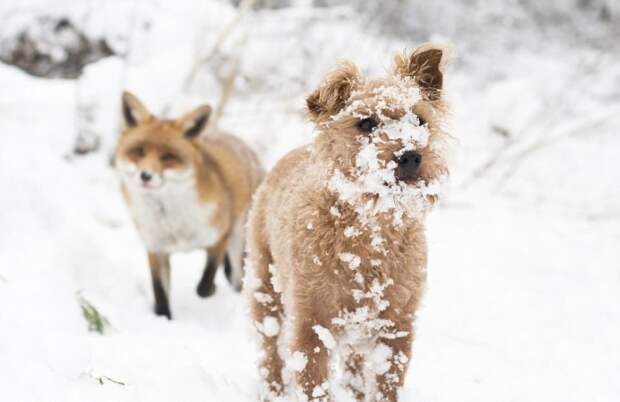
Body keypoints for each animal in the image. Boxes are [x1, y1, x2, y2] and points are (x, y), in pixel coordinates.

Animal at [115, 92, 262, 320]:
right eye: (139, 152)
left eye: (168, 157)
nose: (145, 176)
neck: (173, 222)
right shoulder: (156, 249)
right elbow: (160, 294)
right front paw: (164, 319)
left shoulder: (219, 238)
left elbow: (204, 284)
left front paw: (211, 290)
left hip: (238, 241)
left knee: (236, 278)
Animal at [245, 42, 452, 400]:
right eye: (366, 124)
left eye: (420, 120)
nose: (411, 155)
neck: (368, 231)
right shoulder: (310, 327)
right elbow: (314, 385)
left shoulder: (396, 329)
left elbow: (385, 384)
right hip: (265, 288)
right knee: (269, 348)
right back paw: (273, 390)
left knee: (354, 363)